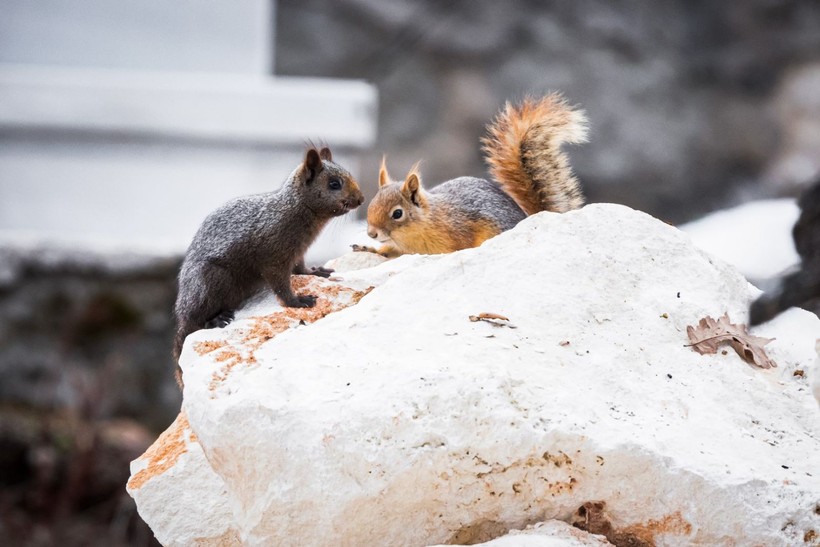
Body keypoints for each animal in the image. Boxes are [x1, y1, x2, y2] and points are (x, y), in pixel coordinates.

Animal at [173, 144, 362, 376]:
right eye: (334, 184)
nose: (361, 199)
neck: (295, 209)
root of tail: (181, 314)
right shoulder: (274, 256)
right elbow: (281, 284)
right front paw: (297, 301)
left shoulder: (298, 252)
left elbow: (300, 268)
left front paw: (316, 271)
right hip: (210, 282)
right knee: (195, 321)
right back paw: (214, 319)